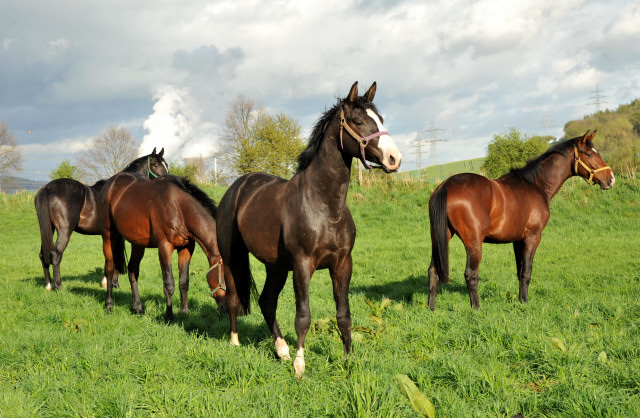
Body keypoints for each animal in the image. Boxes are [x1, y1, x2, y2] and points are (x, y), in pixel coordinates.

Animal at [34, 149, 168, 290]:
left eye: (166, 164)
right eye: (155, 165)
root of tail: (47, 188)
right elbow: (116, 256)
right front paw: (113, 283)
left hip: (49, 228)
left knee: (43, 255)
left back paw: (48, 285)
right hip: (65, 230)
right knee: (56, 254)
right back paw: (58, 285)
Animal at [95, 171, 225, 322]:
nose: (226, 308)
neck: (179, 208)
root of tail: (110, 183)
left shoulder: (186, 248)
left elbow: (184, 282)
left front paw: (184, 312)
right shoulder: (164, 247)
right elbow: (169, 284)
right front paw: (169, 316)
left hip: (138, 244)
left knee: (133, 271)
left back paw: (138, 308)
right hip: (109, 236)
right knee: (109, 269)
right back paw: (109, 305)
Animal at [218, 81, 402, 376]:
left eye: (380, 119)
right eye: (358, 121)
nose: (394, 158)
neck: (324, 206)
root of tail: (237, 187)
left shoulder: (342, 264)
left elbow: (344, 315)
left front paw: (348, 360)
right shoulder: (303, 265)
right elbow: (303, 316)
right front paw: (299, 365)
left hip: (276, 267)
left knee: (267, 302)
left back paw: (281, 350)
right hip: (233, 258)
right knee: (235, 297)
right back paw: (236, 342)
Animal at [430, 131, 616, 310]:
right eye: (589, 154)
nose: (611, 179)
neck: (535, 185)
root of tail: (446, 186)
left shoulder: (517, 240)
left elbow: (520, 271)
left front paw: (520, 300)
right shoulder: (532, 237)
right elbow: (527, 272)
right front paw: (524, 302)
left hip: (440, 238)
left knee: (433, 271)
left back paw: (431, 308)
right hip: (474, 243)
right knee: (471, 274)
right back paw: (476, 308)